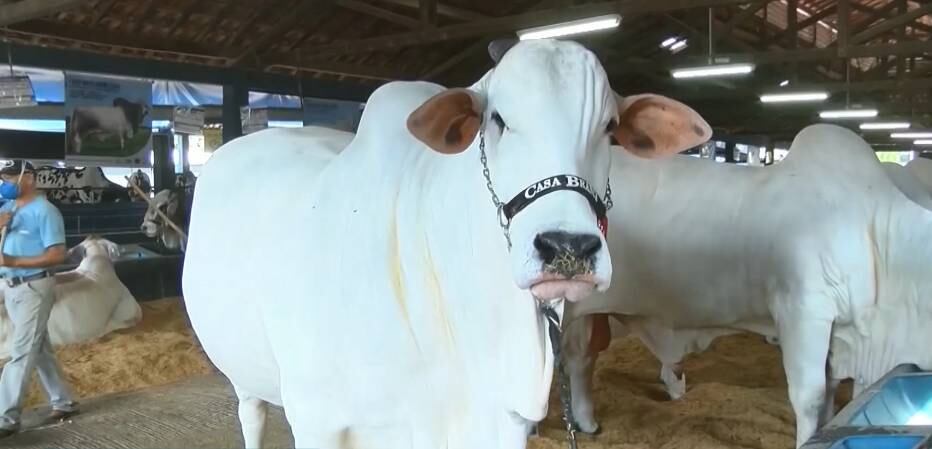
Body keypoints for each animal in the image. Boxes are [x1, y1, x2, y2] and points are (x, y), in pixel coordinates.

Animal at [182, 39, 710, 449]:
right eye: (498, 119)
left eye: (609, 128)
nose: (567, 247)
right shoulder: (319, 420)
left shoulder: (502, 421)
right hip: (245, 374)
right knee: (251, 414)